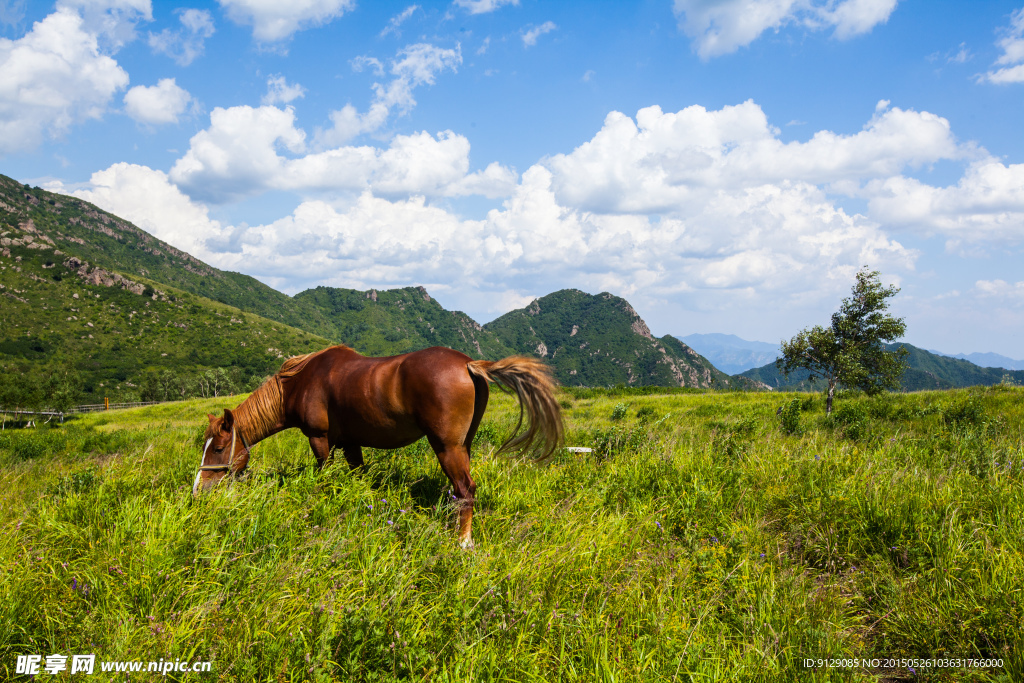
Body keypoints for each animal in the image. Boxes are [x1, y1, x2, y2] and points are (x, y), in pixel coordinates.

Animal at [195, 344, 565, 548]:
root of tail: (468, 364)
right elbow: (358, 478)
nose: (198, 490)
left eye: (218, 448)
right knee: (460, 491)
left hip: (446, 447)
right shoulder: (351, 444)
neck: (300, 382)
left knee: (465, 489)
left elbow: (322, 476)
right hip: (464, 445)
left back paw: (463, 542)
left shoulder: (320, 440)